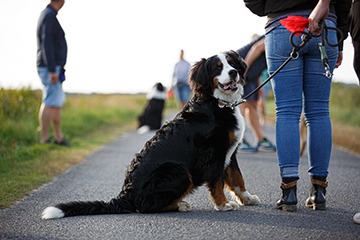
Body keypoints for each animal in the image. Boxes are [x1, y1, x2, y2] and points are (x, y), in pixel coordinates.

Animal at [42, 50, 260, 219]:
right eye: (217, 67)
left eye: (232, 63)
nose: (233, 72)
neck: (218, 103)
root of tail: (125, 195)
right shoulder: (214, 153)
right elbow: (217, 182)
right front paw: (223, 204)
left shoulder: (230, 152)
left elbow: (237, 179)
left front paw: (247, 198)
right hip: (178, 170)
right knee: (145, 207)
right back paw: (180, 205)